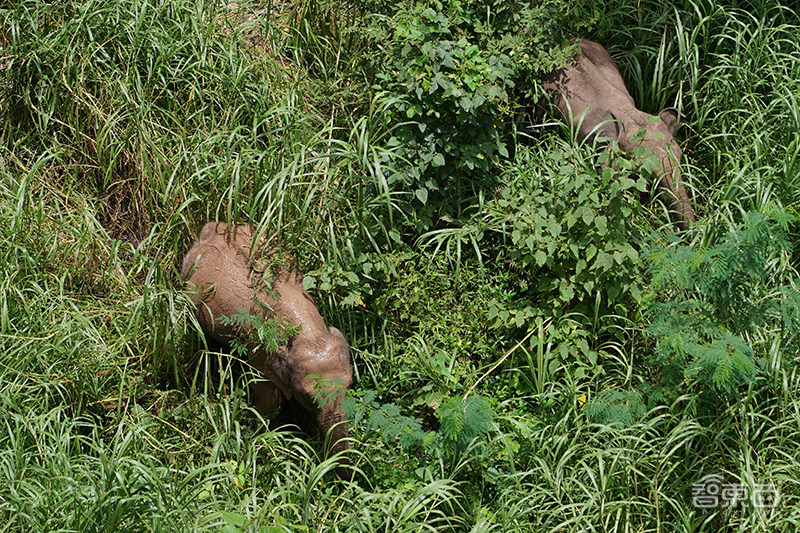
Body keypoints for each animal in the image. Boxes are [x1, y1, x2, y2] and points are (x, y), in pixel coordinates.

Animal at [184, 220, 356, 478]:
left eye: (347, 387)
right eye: (307, 397)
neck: (307, 332)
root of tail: (214, 224)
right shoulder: (260, 348)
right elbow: (267, 394)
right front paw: (270, 437)